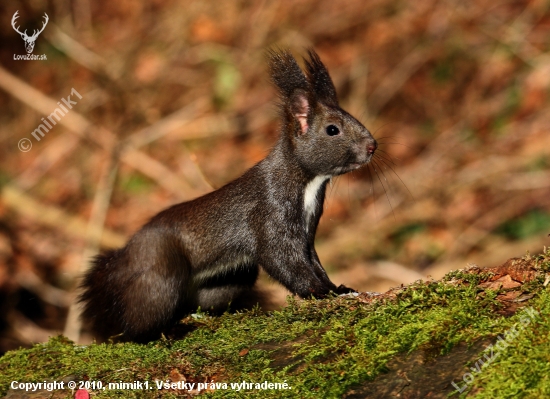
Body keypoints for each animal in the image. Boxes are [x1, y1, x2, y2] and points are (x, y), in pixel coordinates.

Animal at [78, 49, 380, 344]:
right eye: (333, 129)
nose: (372, 146)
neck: (308, 183)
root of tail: (123, 261)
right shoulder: (269, 214)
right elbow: (284, 261)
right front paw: (323, 292)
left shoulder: (307, 230)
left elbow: (313, 261)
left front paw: (338, 286)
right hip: (161, 270)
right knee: (138, 326)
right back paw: (167, 332)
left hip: (232, 278)